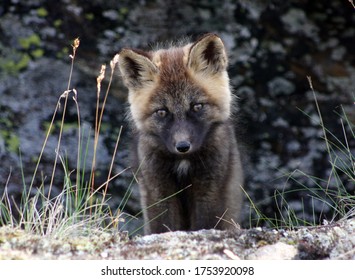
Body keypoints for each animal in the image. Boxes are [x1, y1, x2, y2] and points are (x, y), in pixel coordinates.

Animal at [118, 33, 243, 234]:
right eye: (162, 112)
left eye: (197, 106)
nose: (183, 146)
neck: (183, 163)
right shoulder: (158, 189)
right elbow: (162, 227)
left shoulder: (210, 188)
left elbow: (205, 224)